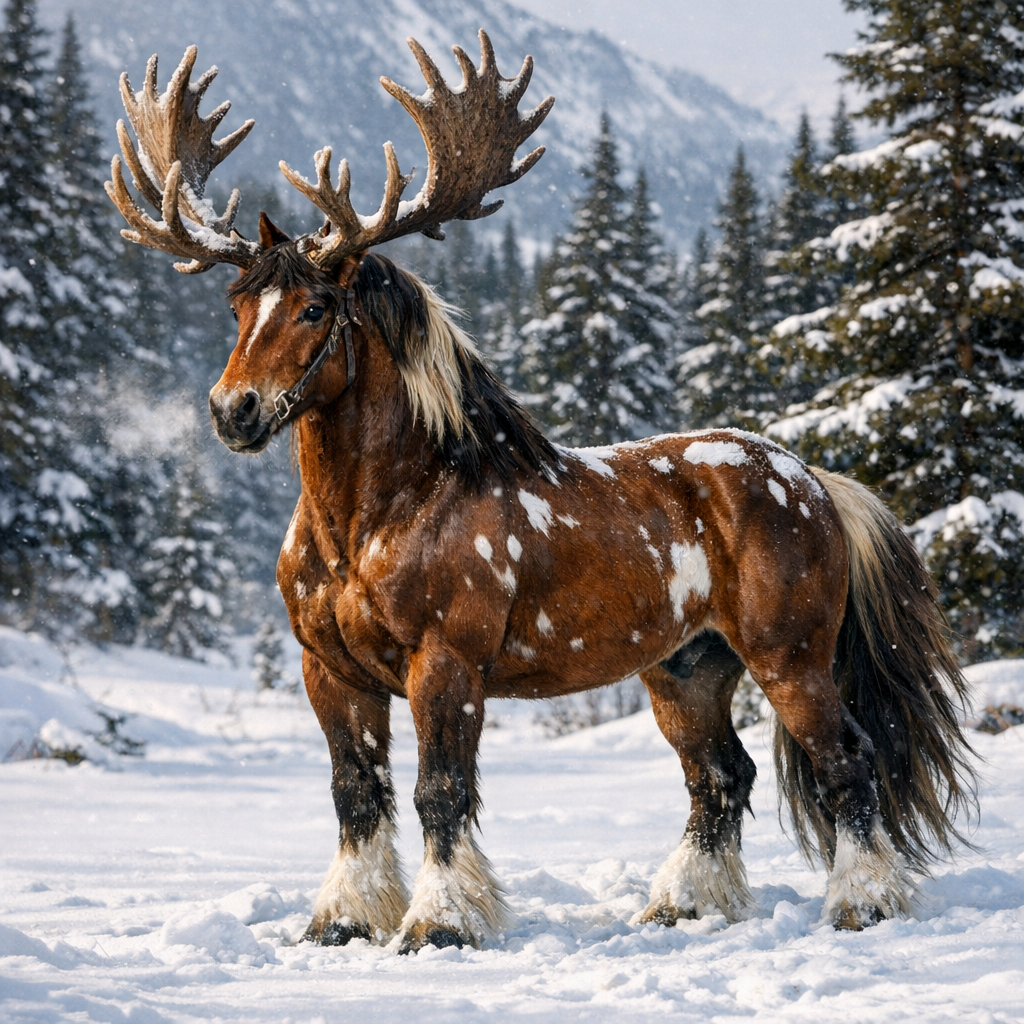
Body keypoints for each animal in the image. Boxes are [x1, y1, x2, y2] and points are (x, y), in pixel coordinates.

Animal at [106, 34, 976, 953]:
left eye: (315, 307)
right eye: (237, 304)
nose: (232, 411)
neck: (372, 521)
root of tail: (812, 480)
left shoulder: (446, 664)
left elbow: (439, 792)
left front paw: (440, 922)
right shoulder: (330, 672)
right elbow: (356, 794)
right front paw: (342, 919)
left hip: (790, 658)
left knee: (846, 760)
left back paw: (859, 903)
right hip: (686, 670)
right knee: (720, 776)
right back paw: (682, 903)